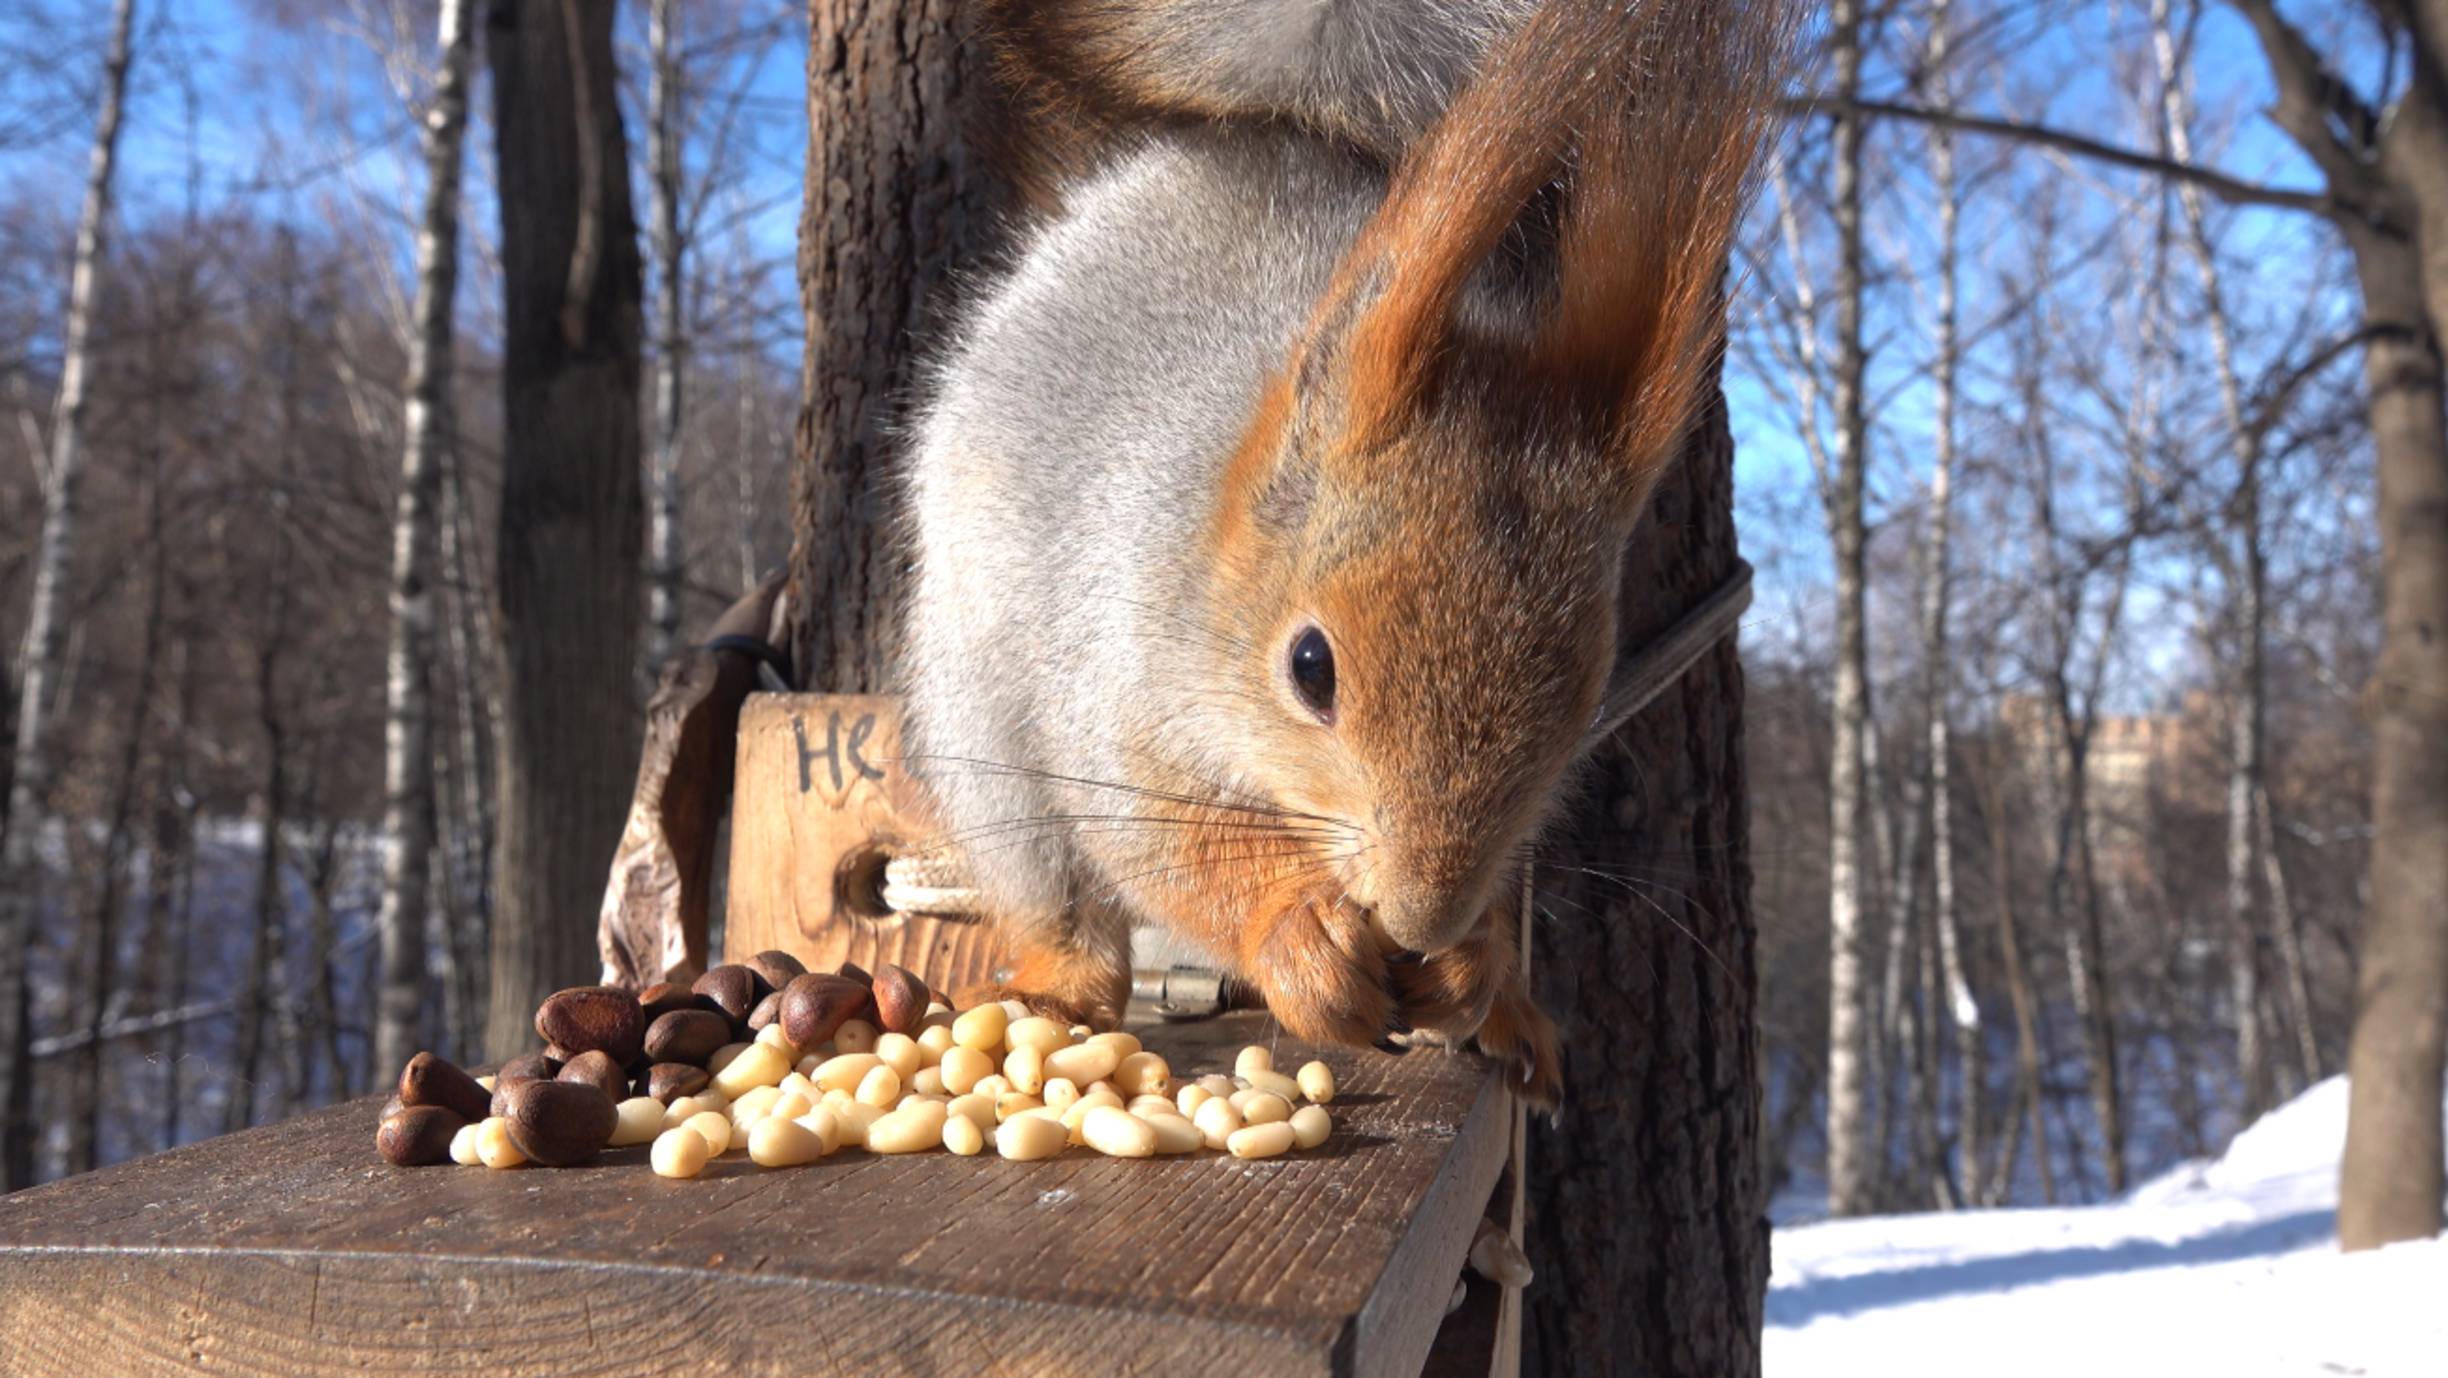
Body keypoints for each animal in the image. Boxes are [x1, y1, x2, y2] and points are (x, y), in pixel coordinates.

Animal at [910, 0, 1791, 1106]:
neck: (1211, 541)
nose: (1421, 916)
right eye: (1310, 667)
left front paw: (1472, 966)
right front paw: (1300, 939)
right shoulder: (1111, 693)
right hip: (980, 724)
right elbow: (1167, 845)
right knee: (1057, 894)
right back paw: (1057, 996)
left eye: (1585, 700)